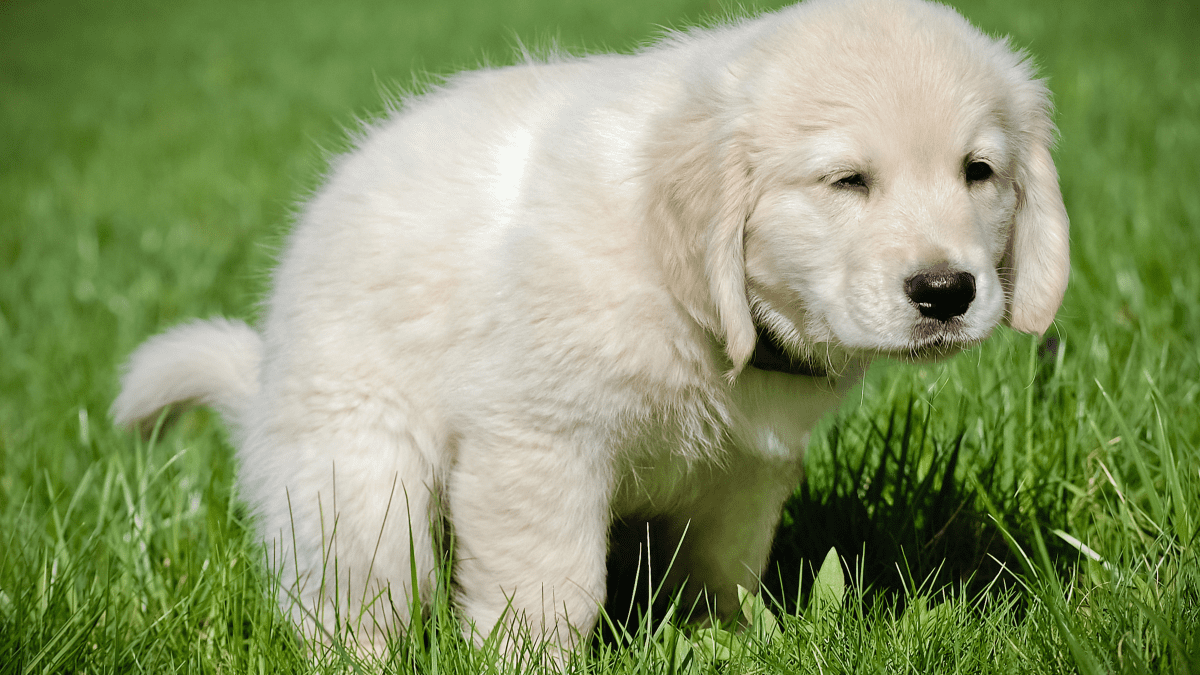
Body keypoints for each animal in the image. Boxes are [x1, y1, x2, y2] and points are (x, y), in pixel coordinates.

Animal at [112, 0, 1070, 658]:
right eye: (847, 181)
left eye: (979, 172)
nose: (946, 291)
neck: (694, 298)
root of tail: (264, 382)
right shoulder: (537, 444)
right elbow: (549, 586)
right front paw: (531, 656)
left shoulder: (747, 471)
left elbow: (724, 575)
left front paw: (729, 642)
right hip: (359, 483)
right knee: (352, 600)